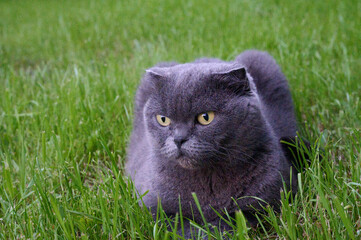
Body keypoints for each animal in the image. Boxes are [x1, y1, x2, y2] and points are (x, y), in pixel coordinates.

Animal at [125, 49, 300, 236]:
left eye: (205, 117)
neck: (208, 179)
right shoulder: (153, 207)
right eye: (163, 119)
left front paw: (210, 230)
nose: (179, 139)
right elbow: (175, 224)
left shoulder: (268, 200)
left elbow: (233, 221)